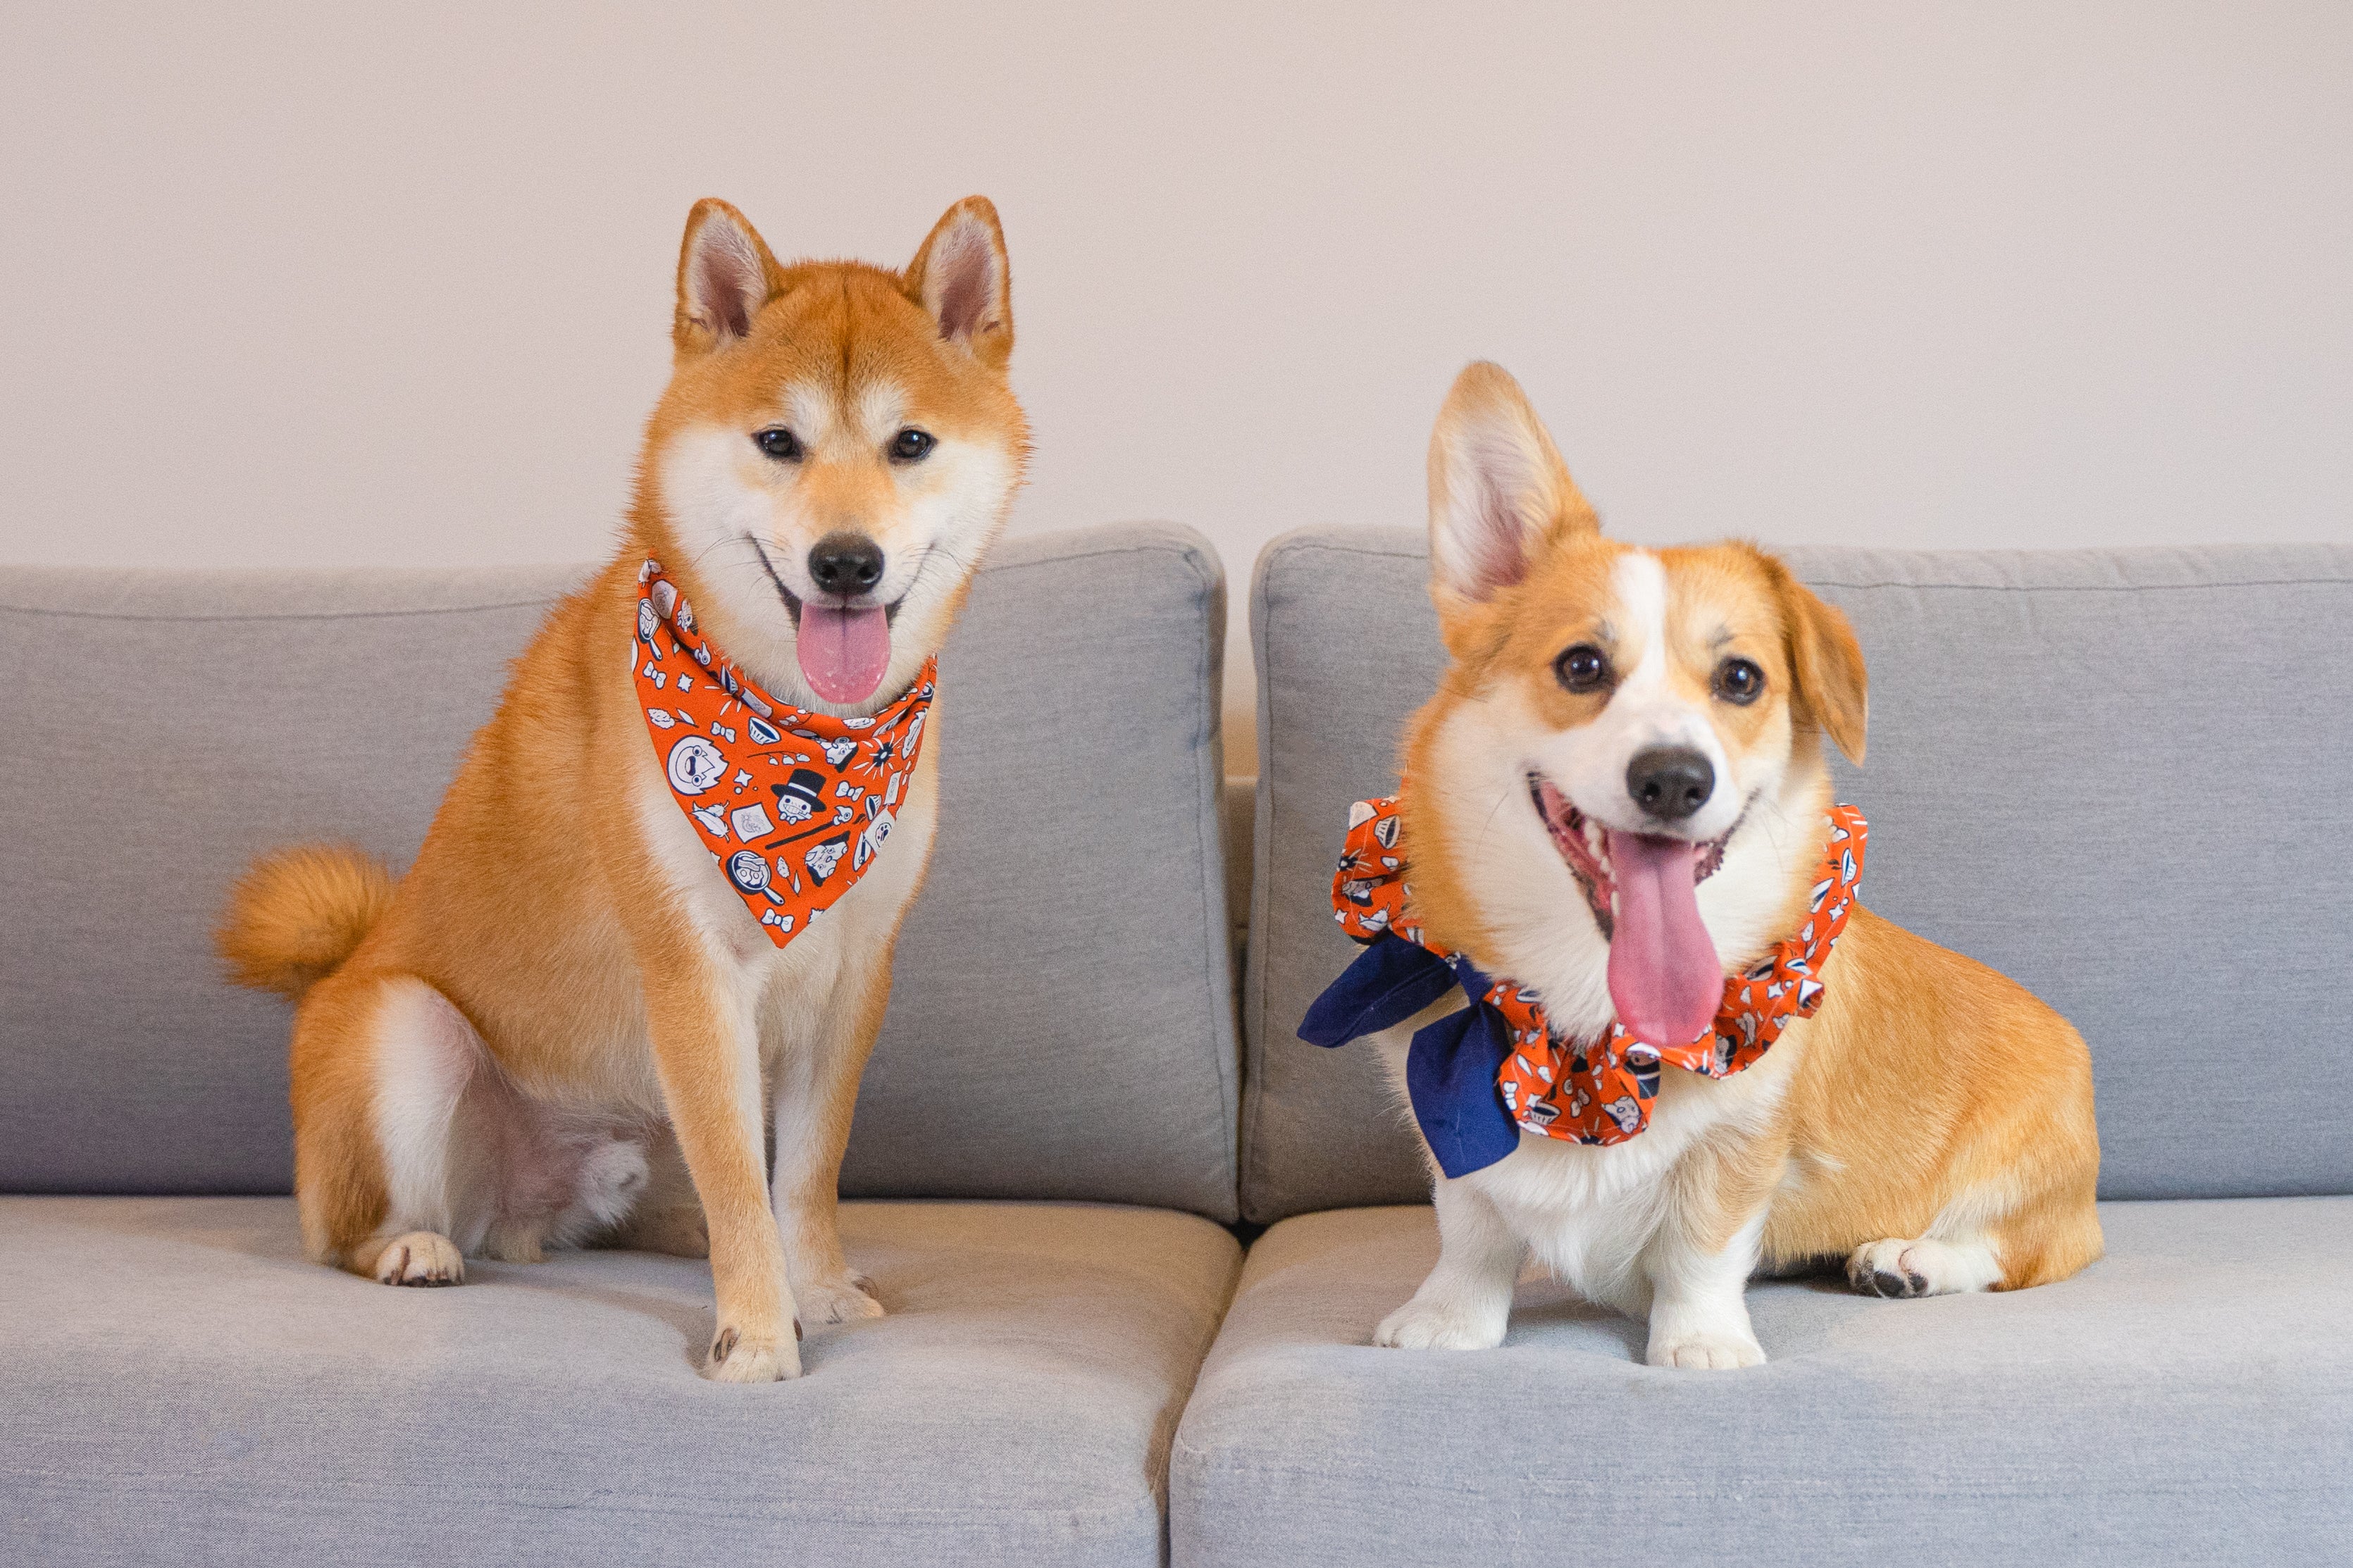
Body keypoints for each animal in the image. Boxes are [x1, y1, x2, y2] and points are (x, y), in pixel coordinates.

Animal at [221, 195, 1030, 1384]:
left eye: (910, 443)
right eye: (778, 442)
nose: (846, 562)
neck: (793, 734)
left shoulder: (855, 976)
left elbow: (804, 1173)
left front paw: (818, 1285)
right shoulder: (689, 972)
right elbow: (744, 1180)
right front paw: (757, 1331)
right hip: (407, 1030)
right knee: (351, 1232)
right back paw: (410, 1246)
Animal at [1365, 360, 2099, 1365]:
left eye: (1741, 680)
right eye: (1582, 666)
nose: (1674, 778)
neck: (1590, 1026)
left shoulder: (1743, 1142)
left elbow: (1701, 1244)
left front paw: (1700, 1346)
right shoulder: (1453, 1127)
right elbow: (1472, 1228)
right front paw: (1448, 1323)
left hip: (2035, 1184)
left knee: (2025, 1249)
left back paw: (1910, 1260)